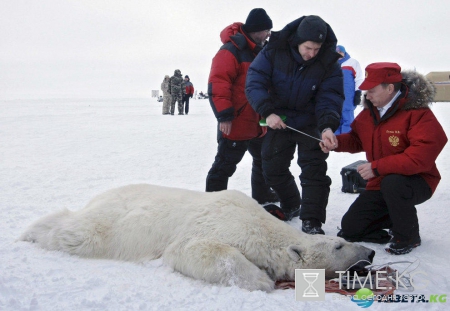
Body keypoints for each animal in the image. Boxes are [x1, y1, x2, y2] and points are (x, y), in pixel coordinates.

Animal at [19, 184, 374, 292]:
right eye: (339, 245)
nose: (370, 253)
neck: (263, 226)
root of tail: (100, 196)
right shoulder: (220, 223)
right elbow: (191, 250)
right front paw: (261, 280)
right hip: (115, 223)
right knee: (78, 233)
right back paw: (30, 232)